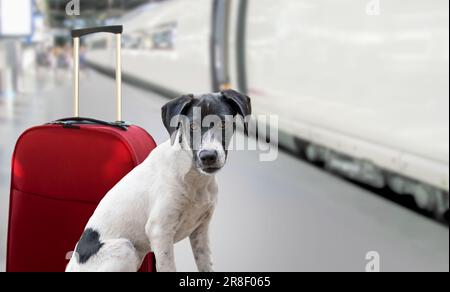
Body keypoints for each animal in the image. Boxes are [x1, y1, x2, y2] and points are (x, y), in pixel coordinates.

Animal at [65, 89, 251, 272]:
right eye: (192, 126)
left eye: (223, 124)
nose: (208, 157)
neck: (194, 177)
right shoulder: (159, 231)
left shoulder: (200, 231)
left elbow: (206, 266)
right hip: (126, 248)